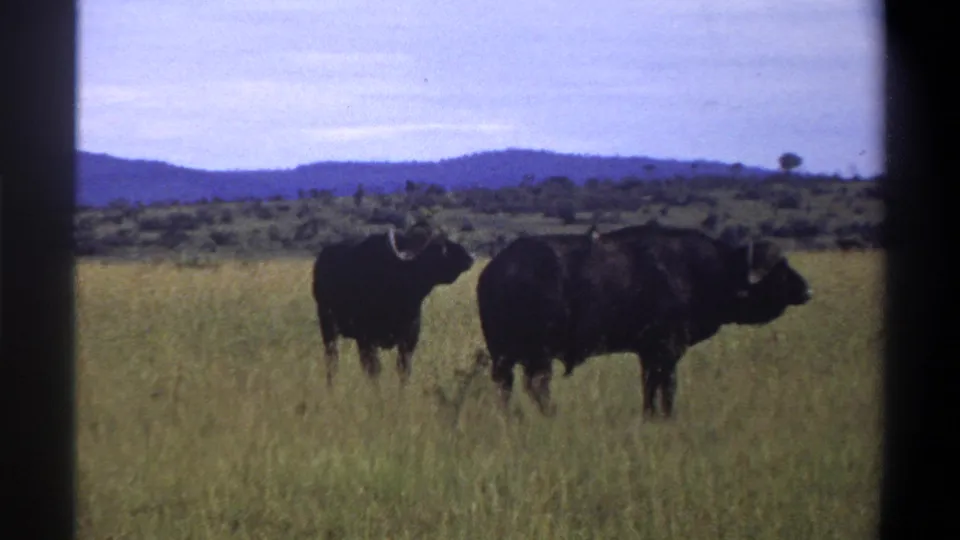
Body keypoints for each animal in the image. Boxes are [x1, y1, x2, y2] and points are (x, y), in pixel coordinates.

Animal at [312, 222, 475, 387]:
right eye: (439, 246)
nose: (469, 258)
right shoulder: (367, 340)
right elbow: (374, 372)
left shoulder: (409, 341)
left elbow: (404, 371)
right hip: (328, 327)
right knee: (332, 361)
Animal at [475, 223, 812, 418]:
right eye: (779, 269)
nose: (807, 290)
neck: (706, 271)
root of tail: (495, 270)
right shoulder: (666, 350)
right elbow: (666, 388)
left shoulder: (649, 354)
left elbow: (651, 388)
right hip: (537, 354)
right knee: (538, 386)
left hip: (505, 356)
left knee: (508, 387)